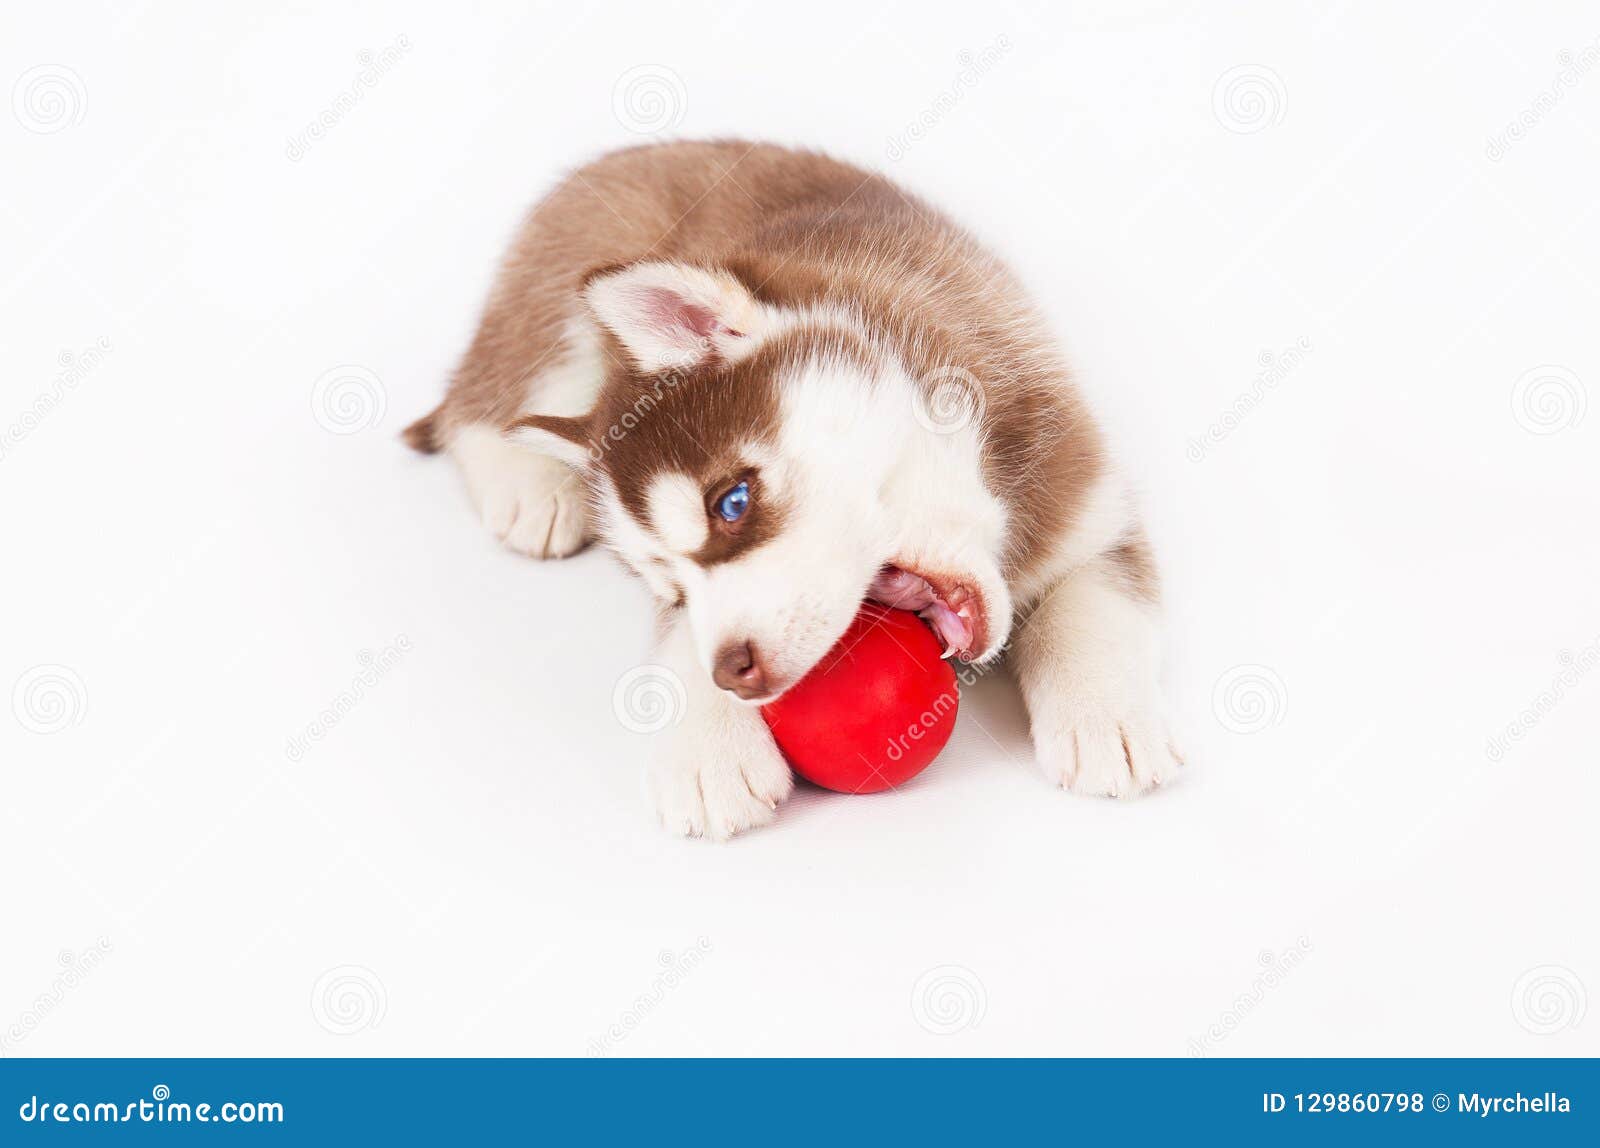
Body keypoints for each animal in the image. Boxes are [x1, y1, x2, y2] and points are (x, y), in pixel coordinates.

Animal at [403, 139, 1177, 837]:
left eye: (731, 505)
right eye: (672, 590)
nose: (732, 674)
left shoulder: (1090, 501)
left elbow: (1094, 602)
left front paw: (1106, 715)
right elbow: (679, 645)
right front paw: (709, 750)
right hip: (557, 303)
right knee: (479, 399)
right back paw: (529, 484)